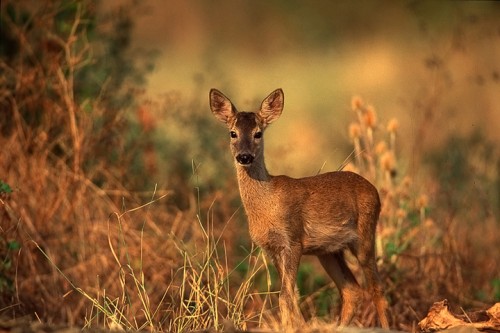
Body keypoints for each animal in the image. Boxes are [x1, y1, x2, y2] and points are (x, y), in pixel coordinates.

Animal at [209, 87, 388, 328]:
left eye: (258, 133)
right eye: (232, 133)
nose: (244, 156)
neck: (267, 203)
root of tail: (375, 190)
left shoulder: (293, 240)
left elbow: (285, 296)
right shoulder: (271, 248)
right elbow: (291, 294)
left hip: (365, 235)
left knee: (377, 289)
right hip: (328, 251)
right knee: (352, 291)